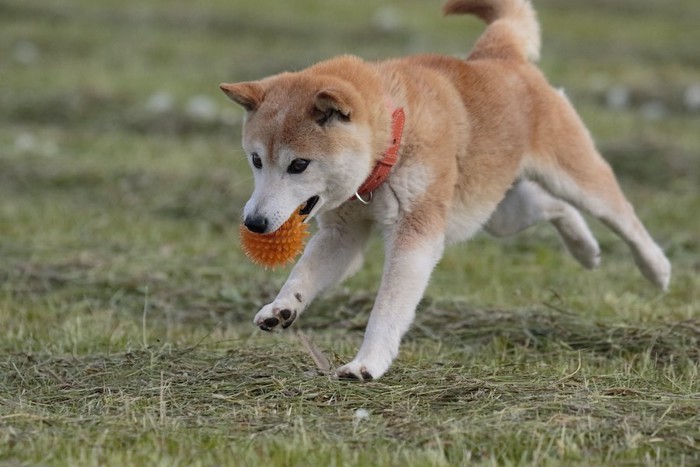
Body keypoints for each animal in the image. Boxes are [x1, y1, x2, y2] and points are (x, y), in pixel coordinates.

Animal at [221, 0, 668, 380]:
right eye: (256, 160)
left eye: (298, 164)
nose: (254, 223)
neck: (393, 138)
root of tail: (498, 55)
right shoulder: (343, 233)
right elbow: (304, 274)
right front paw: (282, 308)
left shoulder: (415, 235)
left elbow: (388, 307)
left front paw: (368, 363)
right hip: (496, 213)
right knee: (554, 207)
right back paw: (585, 250)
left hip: (573, 175)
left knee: (621, 214)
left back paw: (656, 268)